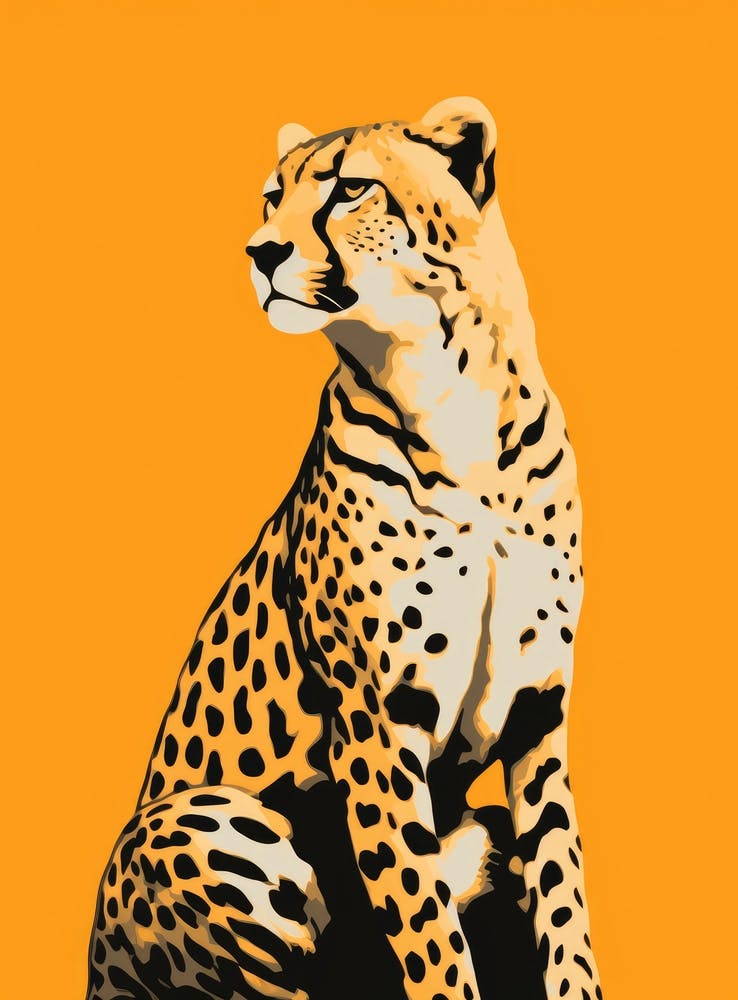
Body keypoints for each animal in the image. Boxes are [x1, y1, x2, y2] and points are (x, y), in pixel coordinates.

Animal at [87, 97, 602, 1000]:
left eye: (350, 189)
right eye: (270, 199)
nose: (260, 251)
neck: (448, 389)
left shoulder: (538, 715)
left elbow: (562, 903)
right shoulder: (377, 719)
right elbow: (425, 925)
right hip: (200, 820)